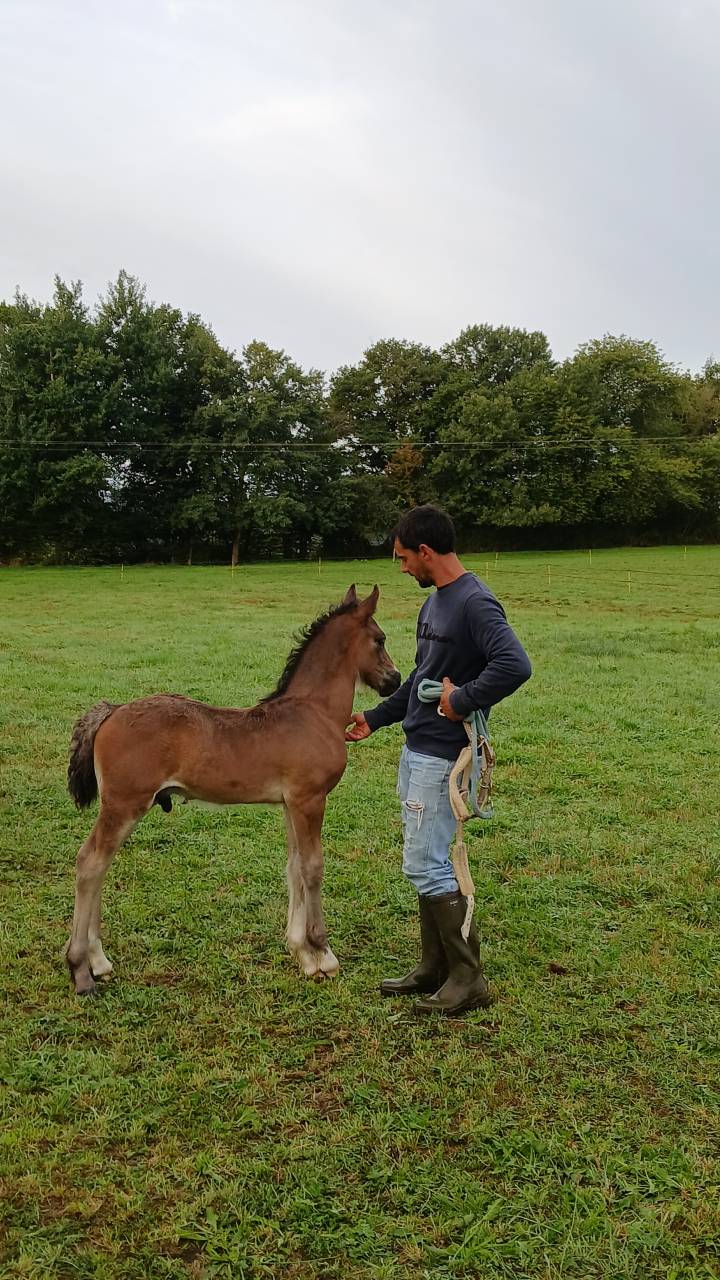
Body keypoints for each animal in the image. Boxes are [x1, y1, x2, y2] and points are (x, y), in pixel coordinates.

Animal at [65, 584, 400, 995]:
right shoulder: (310, 800)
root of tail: (112, 710)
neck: (313, 713)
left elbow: (294, 866)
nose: (395, 679)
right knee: (90, 863)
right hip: (124, 805)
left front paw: (301, 953)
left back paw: (98, 962)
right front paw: (322, 953)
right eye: (380, 639)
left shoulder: (290, 803)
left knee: (100, 864)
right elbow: (313, 868)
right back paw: (81, 969)